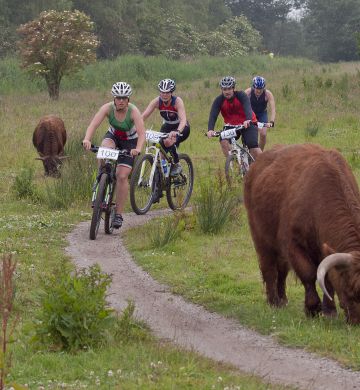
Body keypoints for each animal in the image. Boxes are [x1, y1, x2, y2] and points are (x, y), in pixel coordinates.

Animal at [243, 143, 360, 322]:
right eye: (350, 289)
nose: (357, 321)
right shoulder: (293, 245)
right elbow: (309, 274)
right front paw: (312, 308)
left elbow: (327, 279)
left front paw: (329, 311)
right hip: (261, 238)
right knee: (269, 268)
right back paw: (273, 301)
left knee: (282, 270)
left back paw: (282, 299)